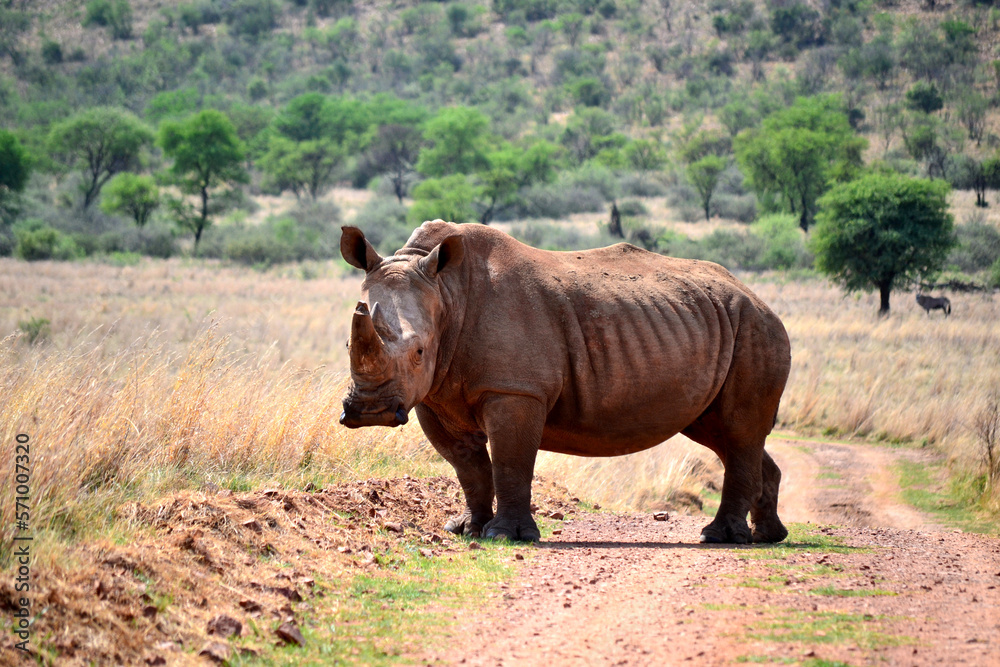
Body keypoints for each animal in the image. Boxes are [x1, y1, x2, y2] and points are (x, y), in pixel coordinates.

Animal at [339, 221, 792, 544]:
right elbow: (467, 466)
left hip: (755, 327)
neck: (447, 292)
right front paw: (466, 529)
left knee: (737, 429)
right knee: (724, 433)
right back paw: (767, 537)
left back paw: (720, 538)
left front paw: (506, 536)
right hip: (714, 323)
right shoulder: (434, 394)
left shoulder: (515, 389)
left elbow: (510, 461)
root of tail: (759, 297)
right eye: (347, 342)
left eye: (419, 352)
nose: (372, 411)